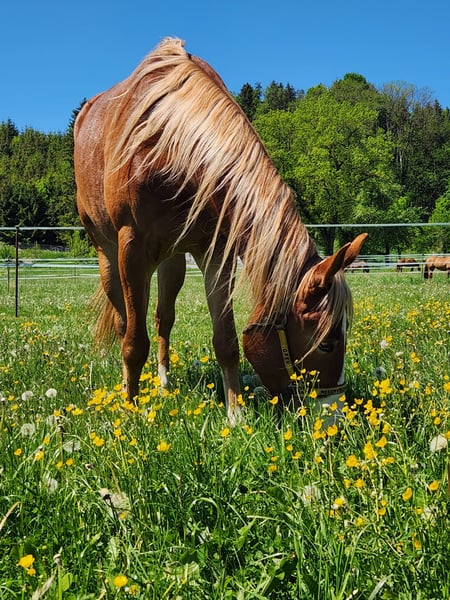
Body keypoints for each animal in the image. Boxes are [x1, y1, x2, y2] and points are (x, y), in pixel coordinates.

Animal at [74, 37, 367, 422]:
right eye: (329, 342)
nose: (335, 415)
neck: (170, 147)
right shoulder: (132, 249)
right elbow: (133, 343)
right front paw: (132, 413)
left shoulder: (216, 253)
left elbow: (225, 340)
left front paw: (235, 414)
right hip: (108, 254)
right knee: (126, 322)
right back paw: (128, 390)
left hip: (172, 262)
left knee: (163, 318)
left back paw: (164, 384)